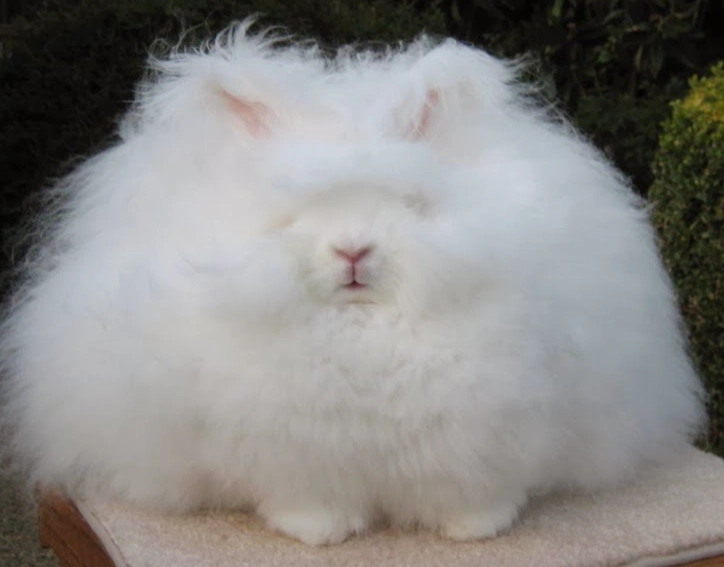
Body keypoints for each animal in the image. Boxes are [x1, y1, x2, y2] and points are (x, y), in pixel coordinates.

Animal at [0, 18, 706, 546]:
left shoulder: (492, 429)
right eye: (292, 214)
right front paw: (321, 534)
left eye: (409, 204)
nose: (353, 251)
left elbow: (475, 489)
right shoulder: (291, 448)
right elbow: (307, 497)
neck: (362, 326)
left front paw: (476, 530)